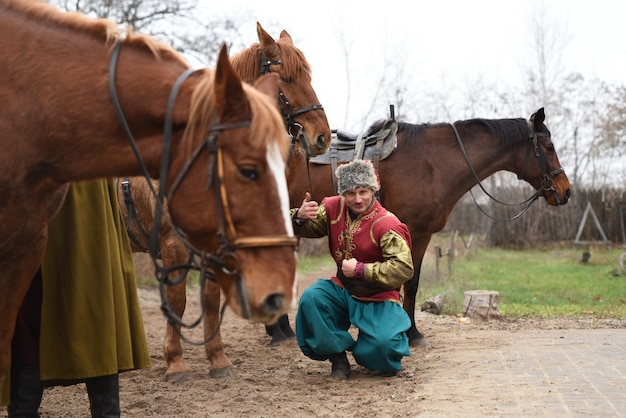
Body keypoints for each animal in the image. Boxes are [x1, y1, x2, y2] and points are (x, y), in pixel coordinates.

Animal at [118, 23, 332, 382]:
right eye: (288, 78)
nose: (322, 137)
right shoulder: (173, 247)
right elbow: (178, 302)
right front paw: (176, 363)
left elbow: (209, 297)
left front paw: (218, 359)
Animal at [288, 107, 572, 346]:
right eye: (549, 147)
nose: (565, 191)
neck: (432, 163)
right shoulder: (414, 232)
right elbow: (410, 282)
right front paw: (412, 333)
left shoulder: (420, 236)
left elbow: (411, 282)